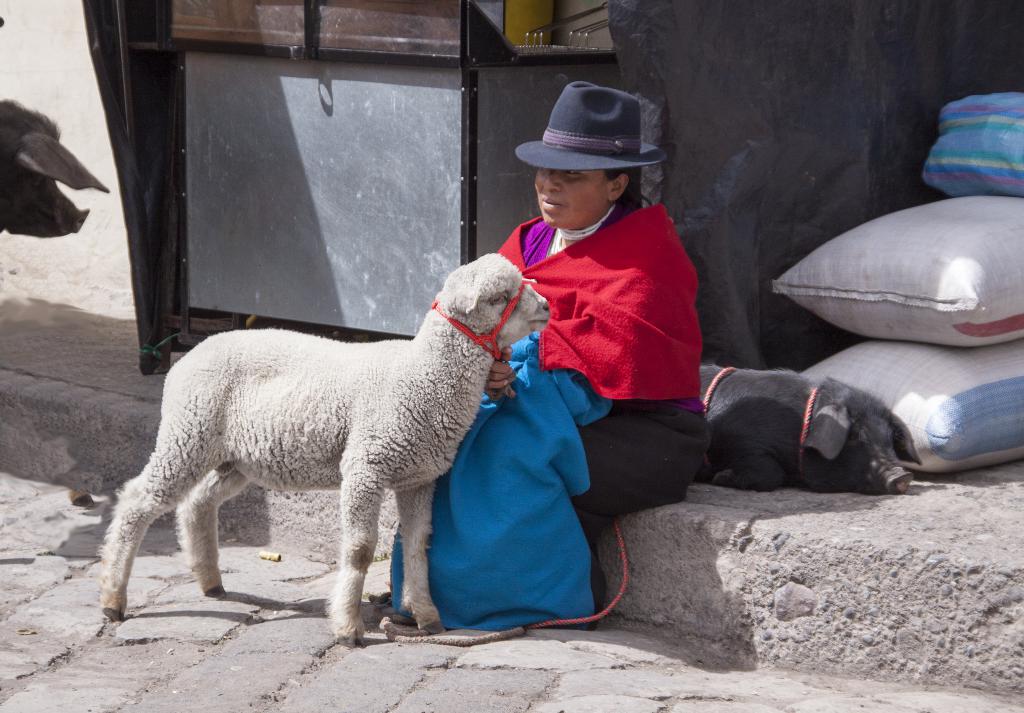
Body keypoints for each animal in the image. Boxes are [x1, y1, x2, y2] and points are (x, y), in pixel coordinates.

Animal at [98, 253, 548, 643]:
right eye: (498, 298)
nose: (545, 306)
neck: (420, 374)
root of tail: (189, 354)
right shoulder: (365, 466)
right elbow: (360, 550)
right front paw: (348, 626)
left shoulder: (418, 477)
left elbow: (419, 543)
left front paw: (426, 615)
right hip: (187, 433)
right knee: (137, 501)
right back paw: (113, 597)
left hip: (235, 458)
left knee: (197, 503)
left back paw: (209, 580)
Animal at [696, 364, 921, 493]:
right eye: (855, 436)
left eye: (889, 438)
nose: (903, 475)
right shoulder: (742, 441)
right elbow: (770, 472)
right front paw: (720, 477)